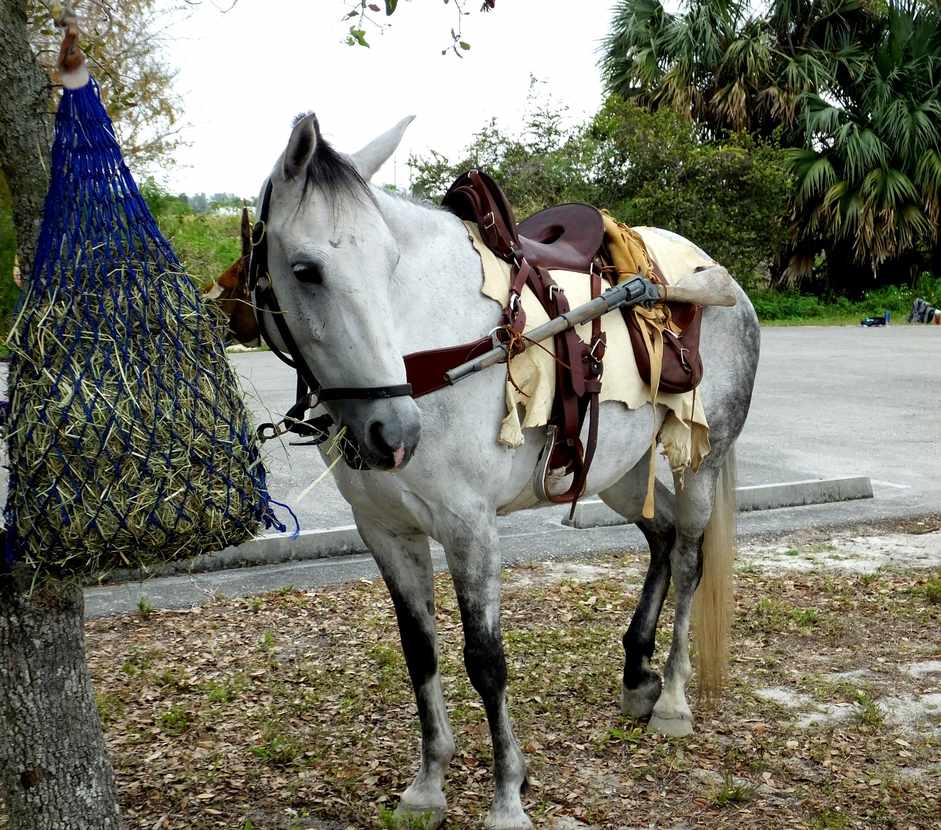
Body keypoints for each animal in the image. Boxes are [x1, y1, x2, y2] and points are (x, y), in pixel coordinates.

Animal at [253, 112, 760, 830]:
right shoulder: (386, 531)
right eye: (305, 270)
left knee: (689, 557)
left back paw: (672, 700)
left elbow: (485, 660)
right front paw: (428, 786)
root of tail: (721, 280)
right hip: (619, 471)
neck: (429, 355)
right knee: (661, 539)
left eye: (390, 265)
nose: (393, 433)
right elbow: (420, 651)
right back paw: (637, 675)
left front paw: (507, 798)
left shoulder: (470, 527)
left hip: (701, 461)